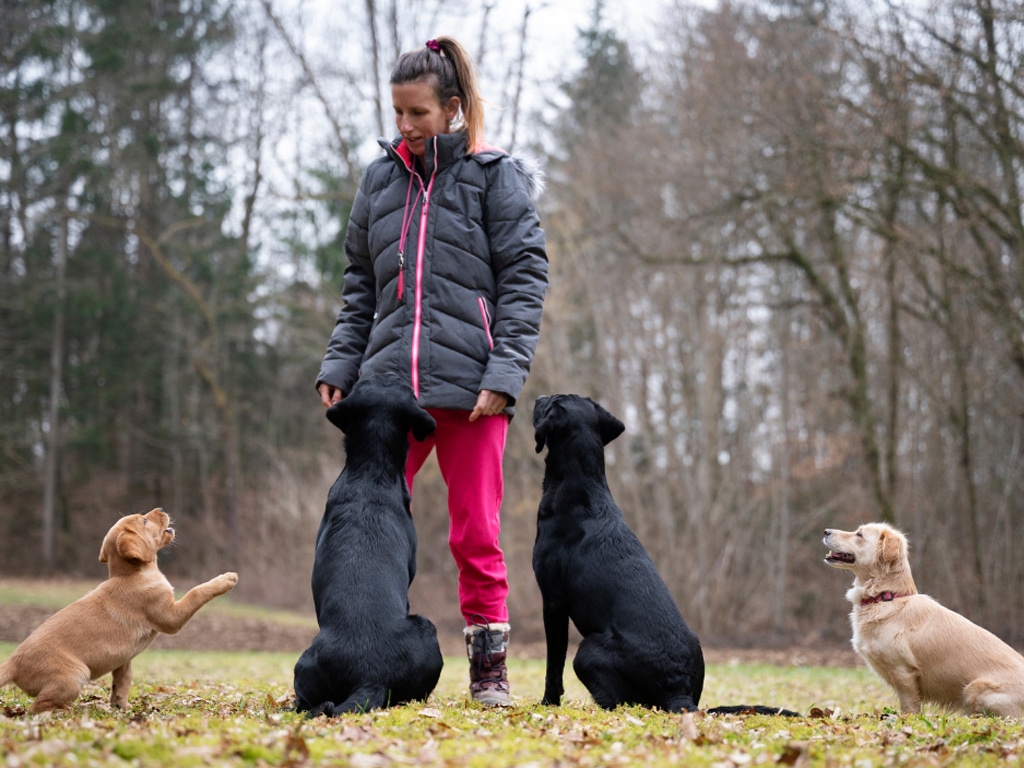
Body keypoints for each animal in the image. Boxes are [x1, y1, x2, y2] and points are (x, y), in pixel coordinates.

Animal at [1, 512, 235, 716]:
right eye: (144, 520)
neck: (131, 574)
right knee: (37, 707)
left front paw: (120, 707)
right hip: (75, 675)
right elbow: (196, 592)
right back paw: (67, 711)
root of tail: (13, 664)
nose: (161, 509)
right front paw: (225, 579)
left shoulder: (124, 658)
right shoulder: (171, 617)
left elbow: (123, 681)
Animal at [532, 399, 794, 720]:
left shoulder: (553, 602)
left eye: (551, 401)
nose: (537, 399)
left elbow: (553, 666)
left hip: (587, 650)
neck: (582, 488)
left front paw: (547, 703)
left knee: (616, 701)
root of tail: (679, 693)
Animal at [823, 528, 1024, 720]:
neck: (886, 596)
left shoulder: (903, 672)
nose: (826, 531)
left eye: (859, 534)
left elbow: (909, 706)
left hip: (975, 688)